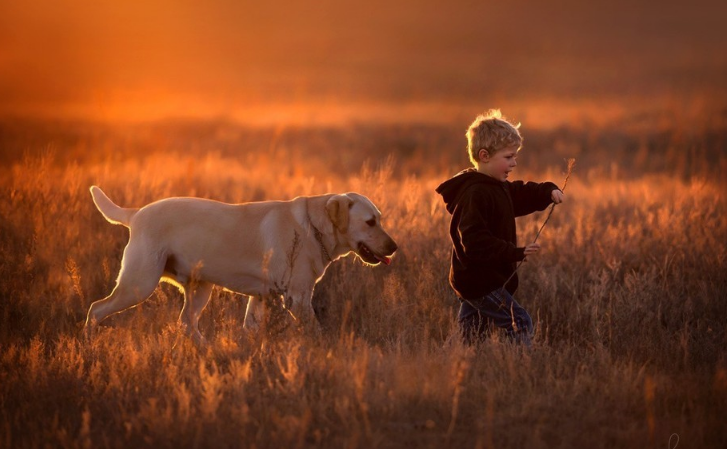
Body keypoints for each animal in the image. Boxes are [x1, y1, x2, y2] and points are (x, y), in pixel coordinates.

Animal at [85, 186, 398, 344]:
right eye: (370, 222)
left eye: (380, 219)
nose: (394, 247)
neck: (313, 227)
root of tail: (136, 214)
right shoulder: (298, 298)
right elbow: (315, 330)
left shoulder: (260, 298)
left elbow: (250, 329)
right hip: (139, 283)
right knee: (96, 308)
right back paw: (88, 342)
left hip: (200, 290)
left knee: (186, 322)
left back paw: (207, 349)